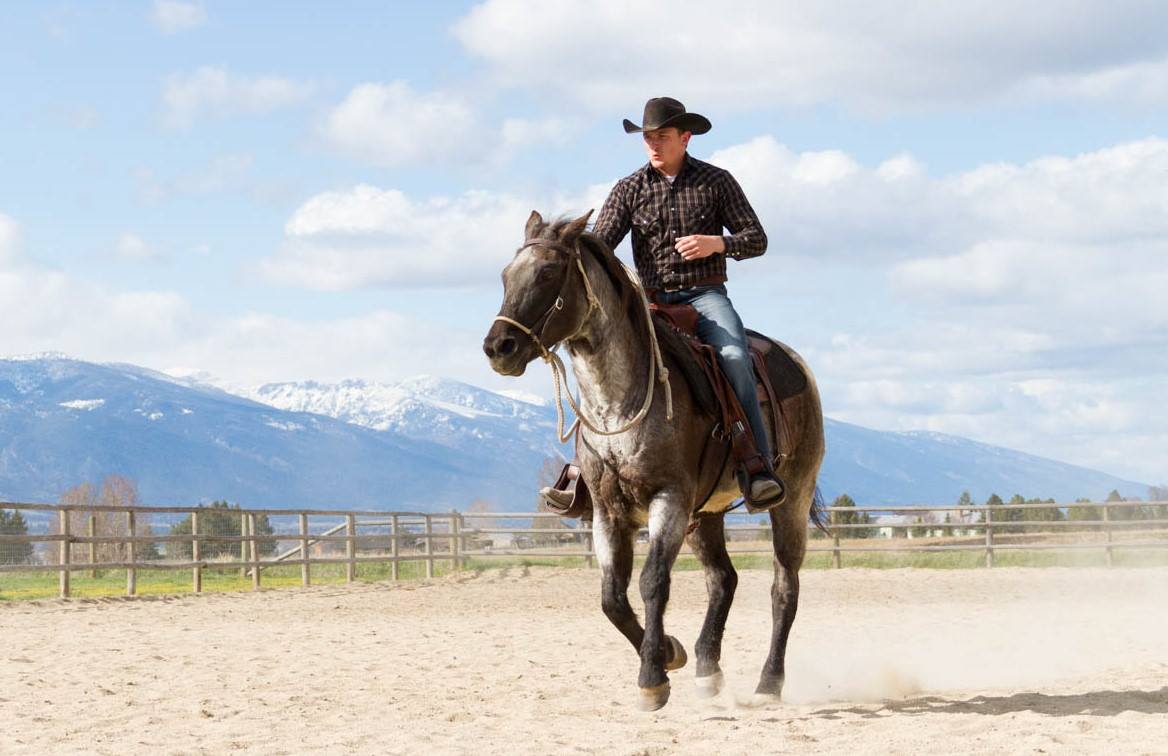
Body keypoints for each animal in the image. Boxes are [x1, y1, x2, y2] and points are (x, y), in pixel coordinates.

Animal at [482, 210, 826, 711]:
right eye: (507, 275)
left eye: (548, 272)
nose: (498, 347)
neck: (618, 404)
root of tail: (797, 364)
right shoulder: (609, 512)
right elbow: (612, 597)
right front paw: (671, 652)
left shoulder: (669, 499)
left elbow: (652, 582)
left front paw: (653, 678)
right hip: (706, 514)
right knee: (723, 579)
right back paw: (708, 670)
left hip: (791, 500)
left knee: (784, 587)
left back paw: (768, 683)